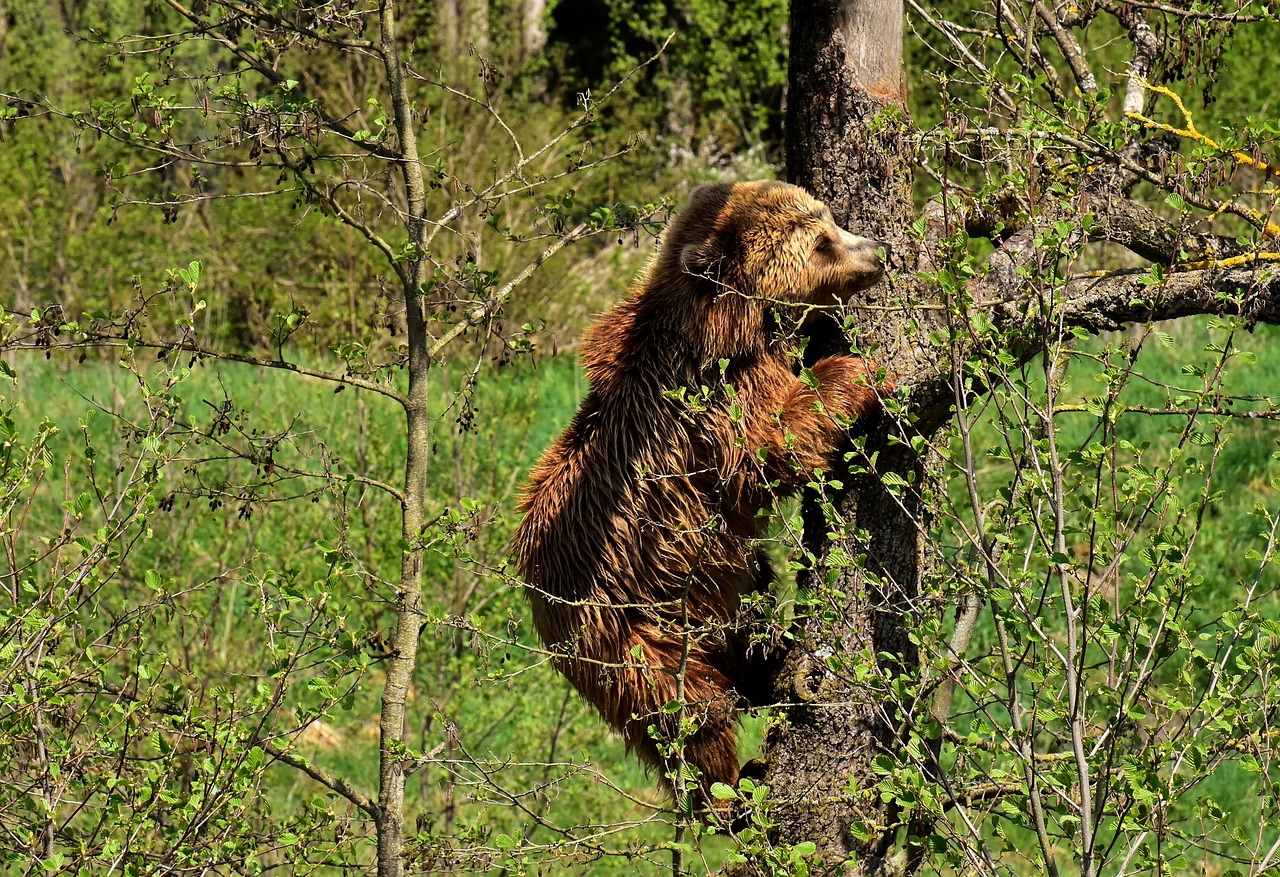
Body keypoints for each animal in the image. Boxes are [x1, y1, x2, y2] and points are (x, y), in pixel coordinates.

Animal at [514, 179, 885, 809]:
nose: (877, 253)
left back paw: (769, 663)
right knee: (690, 714)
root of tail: (538, 605)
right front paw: (855, 369)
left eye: (829, 219)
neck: (729, 327)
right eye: (820, 242)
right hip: (630, 632)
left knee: (744, 611)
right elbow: (767, 452)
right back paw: (729, 791)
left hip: (701, 601)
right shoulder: (710, 404)